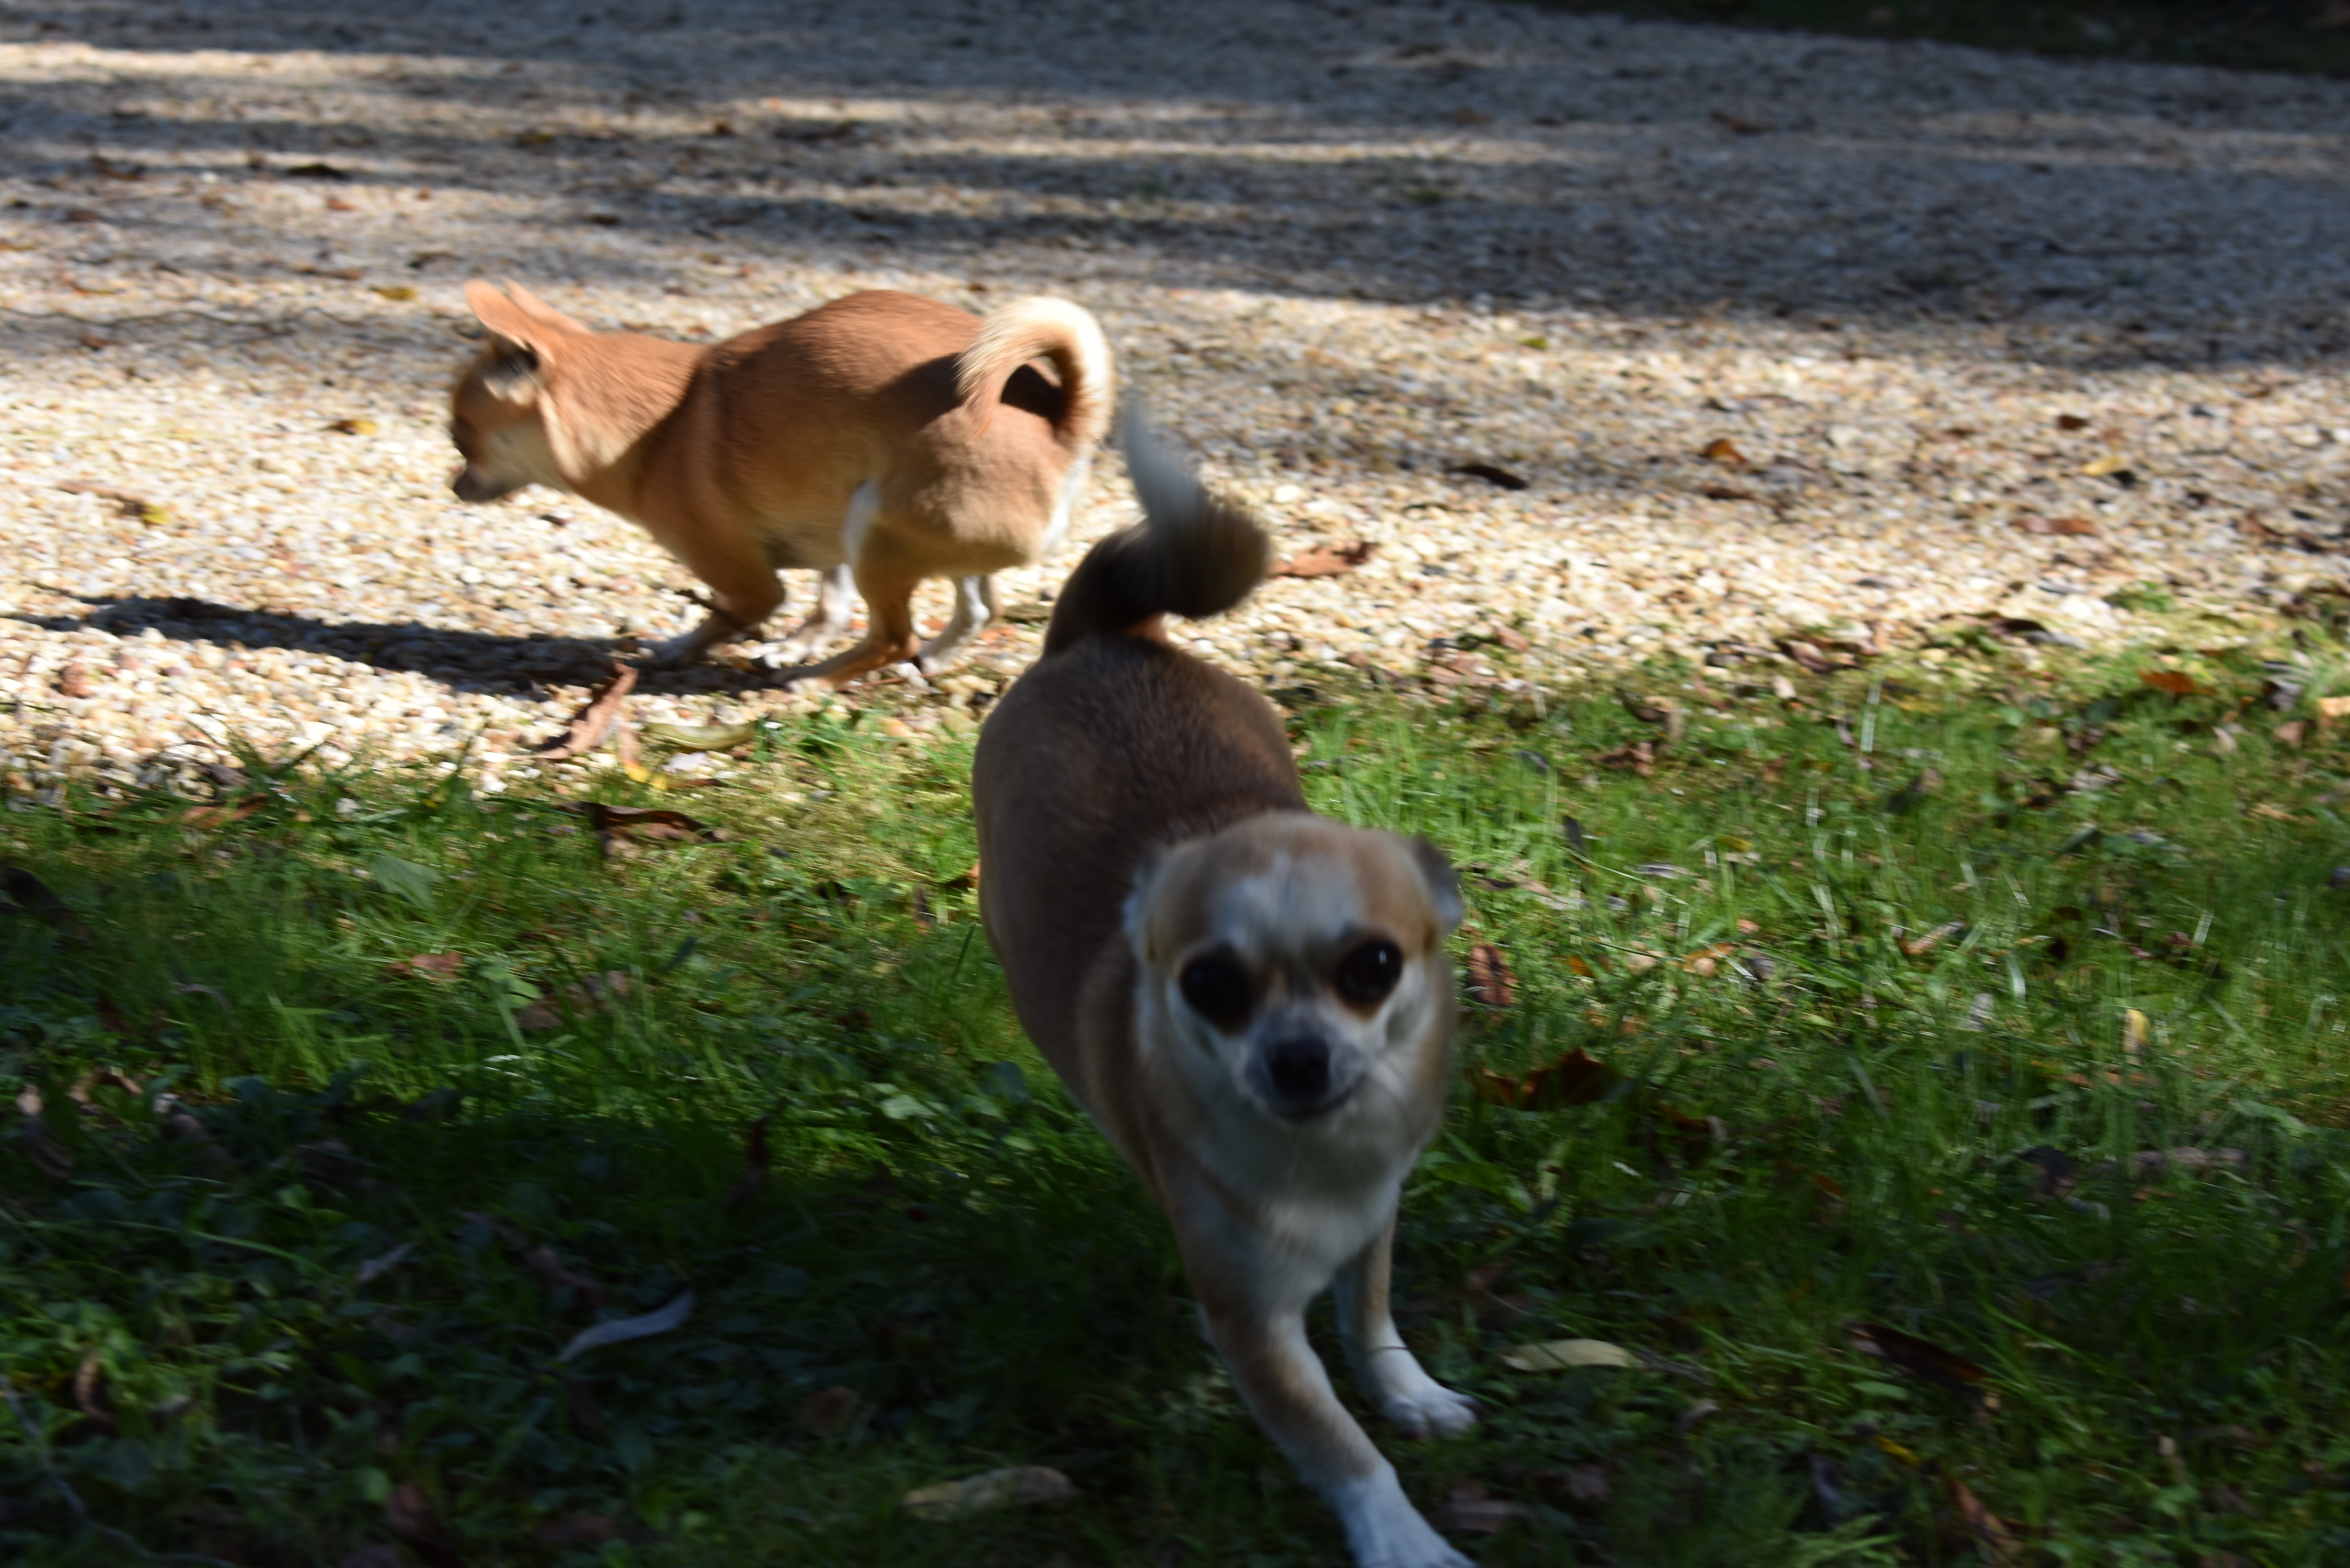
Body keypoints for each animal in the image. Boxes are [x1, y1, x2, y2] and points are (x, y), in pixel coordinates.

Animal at [446, 281, 1109, 682]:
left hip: (876, 529)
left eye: (460, 433)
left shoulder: (747, 579)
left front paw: (682, 648)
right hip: (905, 534)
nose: (454, 485)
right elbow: (828, 601)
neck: (661, 425)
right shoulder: (824, 530)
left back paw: (814, 682)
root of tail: (1062, 428)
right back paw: (920, 662)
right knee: (974, 610)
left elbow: (732, 612)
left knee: (893, 636)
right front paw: (797, 641)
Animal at [973, 413, 1466, 1568]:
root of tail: (1103, 639)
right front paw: (1403, 1537)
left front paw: (1407, 1390)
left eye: (1373, 967)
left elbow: (1371, 1312)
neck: (1319, 1162)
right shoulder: (1251, 1324)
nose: (1297, 1055)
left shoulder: (1375, 1212)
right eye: (1209, 985)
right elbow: (1338, 1444)